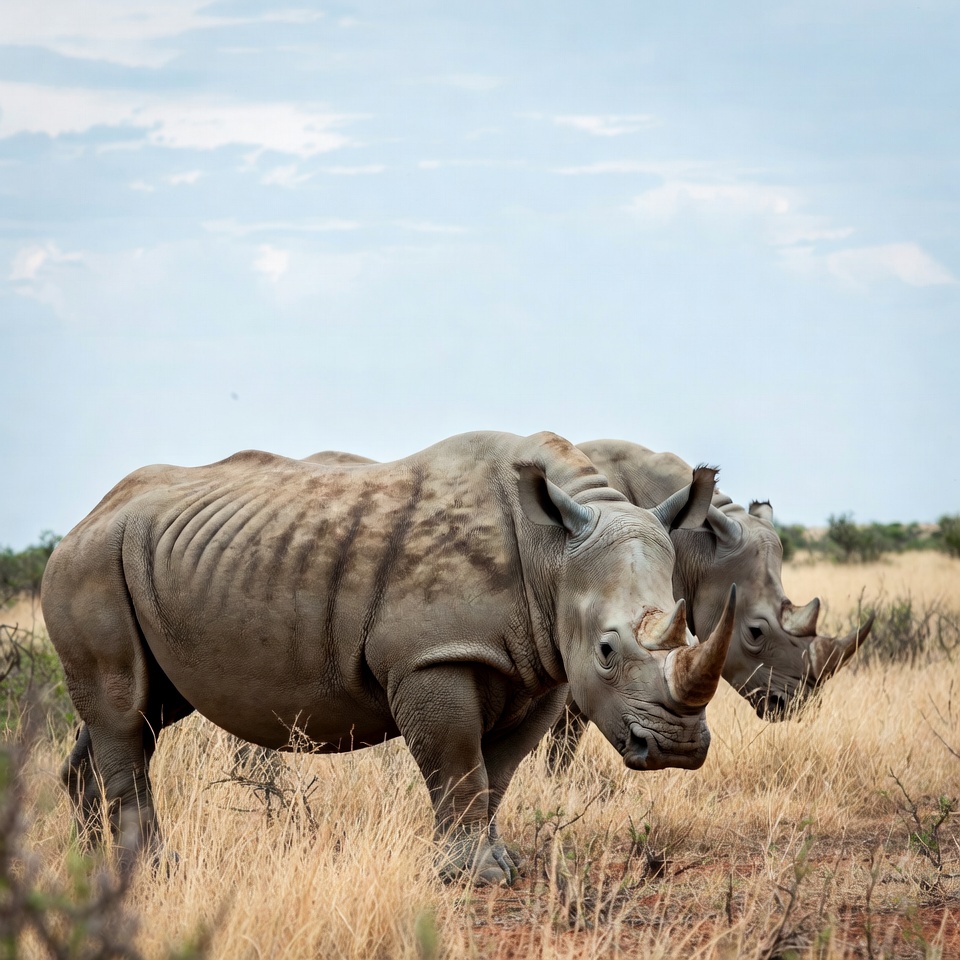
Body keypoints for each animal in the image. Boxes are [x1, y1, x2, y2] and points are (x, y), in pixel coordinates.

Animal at [42, 431, 736, 884]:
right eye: (608, 650)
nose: (676, 749)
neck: (554, 557)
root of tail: (87, 516)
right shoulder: (431, 658)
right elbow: (458, 766)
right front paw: (472, 878)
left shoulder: (542, 669)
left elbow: (499, 773)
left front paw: (502, 866)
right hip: (89, 564)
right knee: (124, 709)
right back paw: (154, 873)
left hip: (147, 563)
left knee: (139, 712)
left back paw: (88, 863)